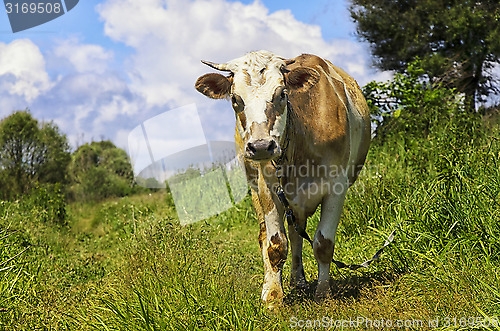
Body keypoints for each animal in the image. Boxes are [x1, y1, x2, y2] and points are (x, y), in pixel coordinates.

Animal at [195, 50, 372, 304]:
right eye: (235, 99)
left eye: (281, 93)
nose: (261, 146)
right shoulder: (267, 187)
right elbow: (275, 245)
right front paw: (273, 297)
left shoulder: (337, 187)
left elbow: (323, 244)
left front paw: (323, 294)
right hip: (254, 186)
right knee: (267, 236)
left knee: (297, 232)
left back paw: (298, 281)